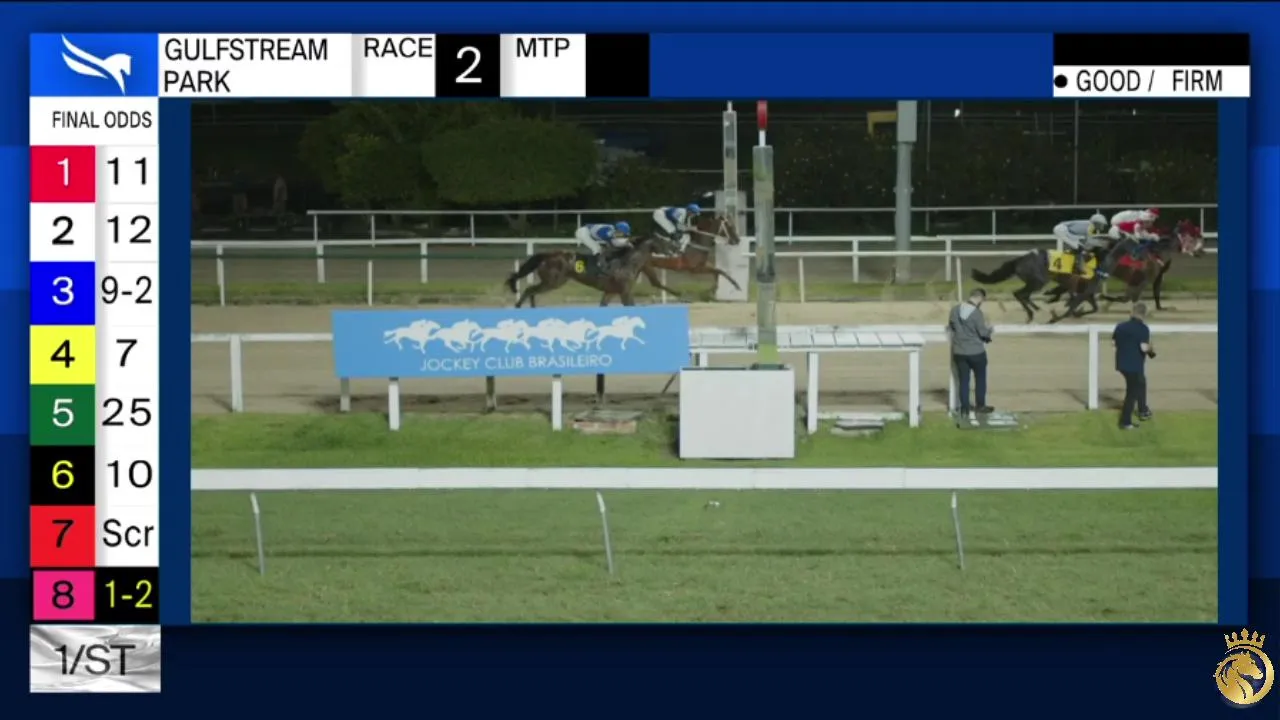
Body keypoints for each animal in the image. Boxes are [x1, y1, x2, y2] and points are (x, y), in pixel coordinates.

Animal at [505, 234, 676, 308]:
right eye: (663, 242)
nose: (674, 251)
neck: (627, 262)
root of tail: (548, 255)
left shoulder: (611, 291)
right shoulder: (625, 291)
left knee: (531, 291)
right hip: (553, 281)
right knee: (529, 290)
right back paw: (519, 306)